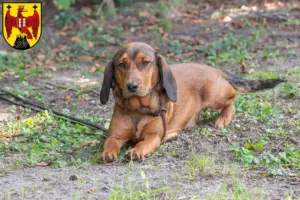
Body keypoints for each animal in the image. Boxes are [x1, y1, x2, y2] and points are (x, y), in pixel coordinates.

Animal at [99, 42, 286, 162]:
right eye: (121, 64)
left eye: (145, 63)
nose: (132, 86)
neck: (138, 109)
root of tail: (216, 70)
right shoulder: (115, 135)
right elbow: (110, 143)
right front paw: (107, 152)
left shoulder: (155, 136)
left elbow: (145, 142)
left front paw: (137, 150)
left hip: (214, 95)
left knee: (233, 97)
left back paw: (223, 118)